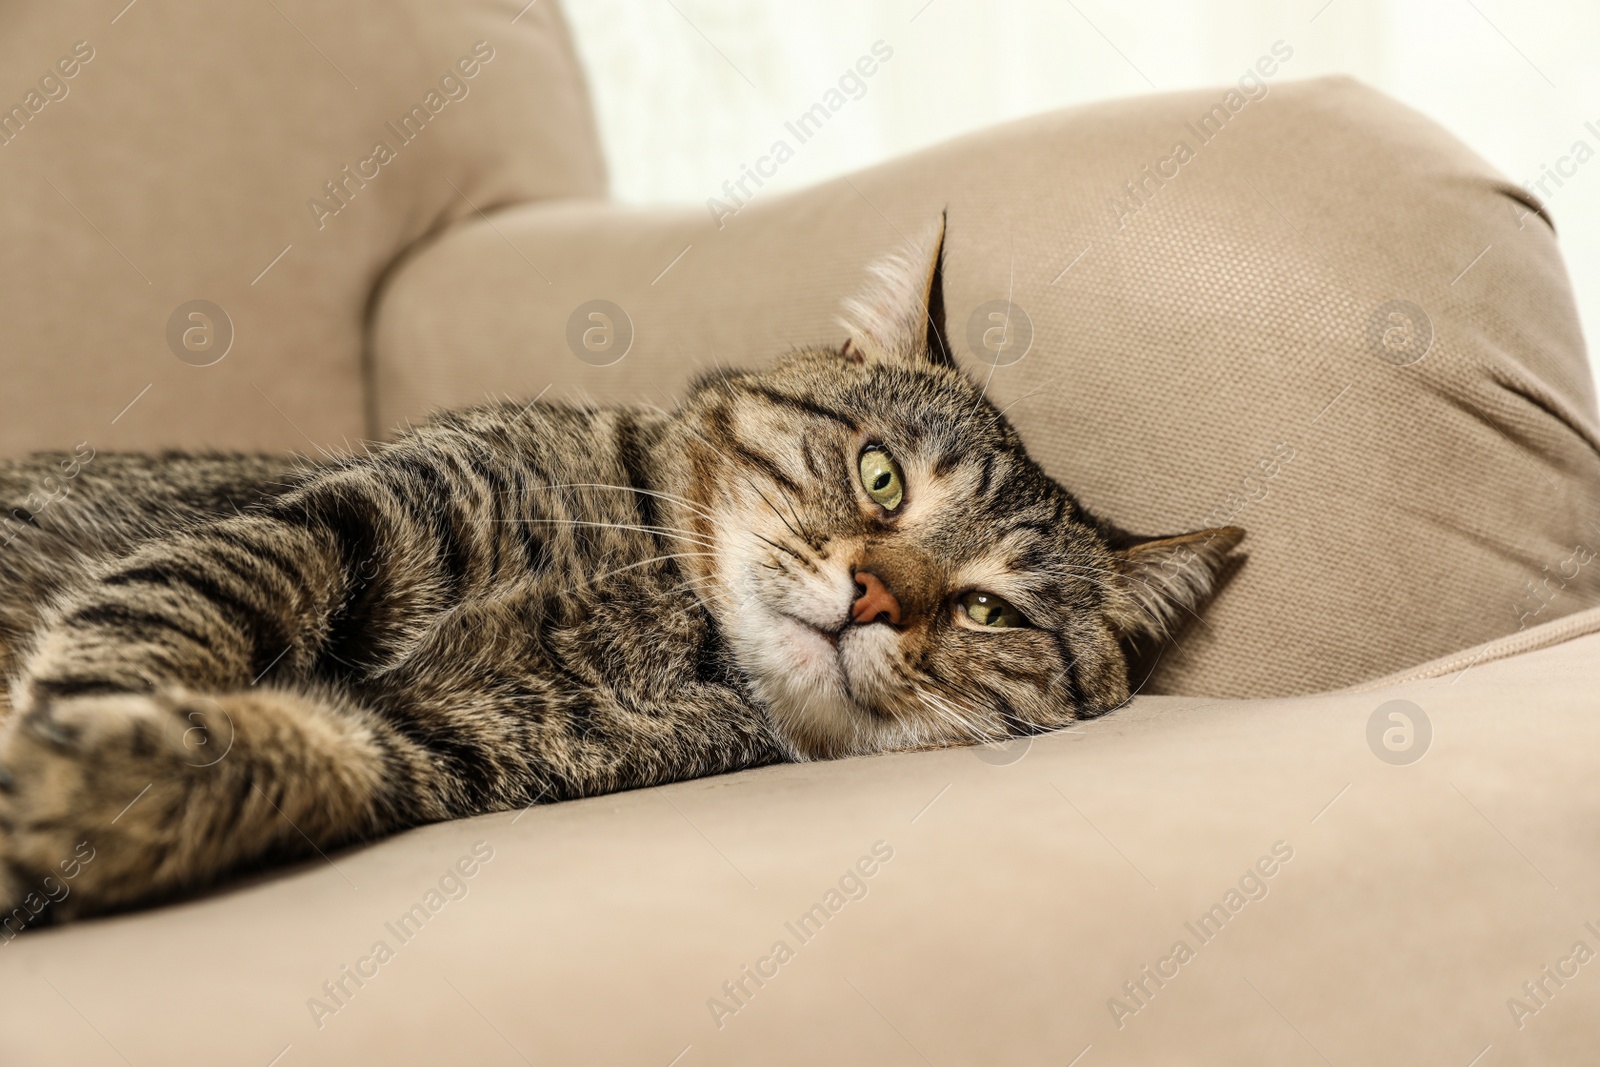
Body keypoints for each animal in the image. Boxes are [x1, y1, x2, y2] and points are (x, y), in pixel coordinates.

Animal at [0, 225, 1241, 927]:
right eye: (881, 476)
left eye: (986, 607)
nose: (877, 594)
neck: (662, 611)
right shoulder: (350, 519)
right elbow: (169, 615)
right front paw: (74, 723)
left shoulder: (440, 741)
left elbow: (303, 753)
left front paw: (97, 788)